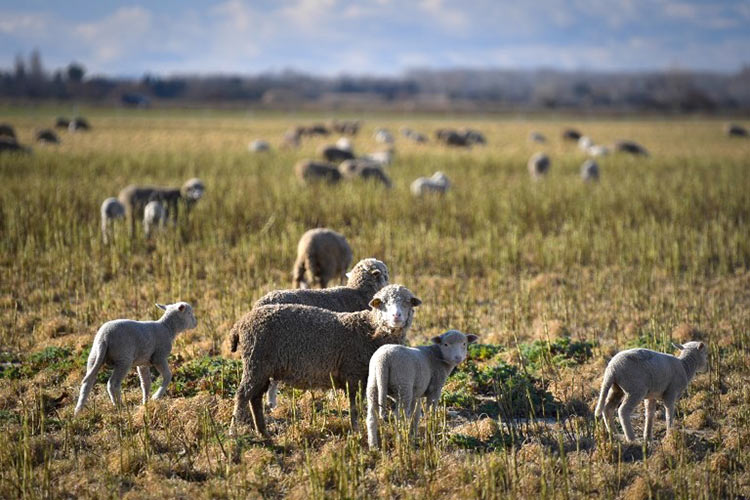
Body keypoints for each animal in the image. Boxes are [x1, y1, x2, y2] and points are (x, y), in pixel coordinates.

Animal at [229, 284, 424, 436]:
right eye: (383, 303)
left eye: (407, 302)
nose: (396, 316)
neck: (369, 330)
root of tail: (240, 323)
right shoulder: (352, 374)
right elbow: (354, 407)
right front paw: (356, 430)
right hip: (255, 363)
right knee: (242, 395)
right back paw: (235, 431)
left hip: (262, 367)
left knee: (255, 398)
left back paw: (263, 432)